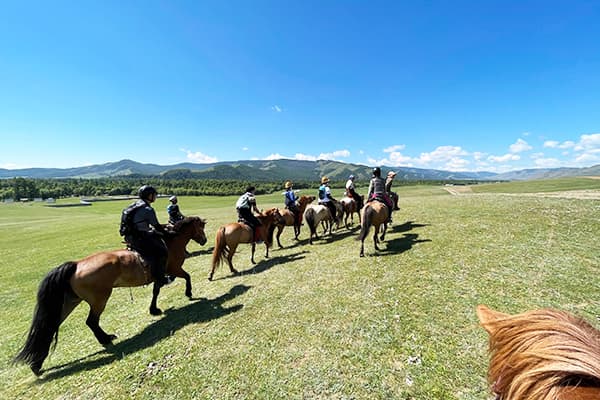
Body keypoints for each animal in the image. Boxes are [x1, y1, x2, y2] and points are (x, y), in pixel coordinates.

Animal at [13, 216, 209, 376]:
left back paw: (37, 364)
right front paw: (189, 293)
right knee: (91, 321)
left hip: (69, 302)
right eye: (201, 228)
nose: (204, 240)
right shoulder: (173, 269)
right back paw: (105, 338)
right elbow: (186, 277)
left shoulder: (160, 276)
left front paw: (154, 309)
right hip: (100, 299)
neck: (170, 242)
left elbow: (156, 291)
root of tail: (76, 265)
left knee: (50, 326)